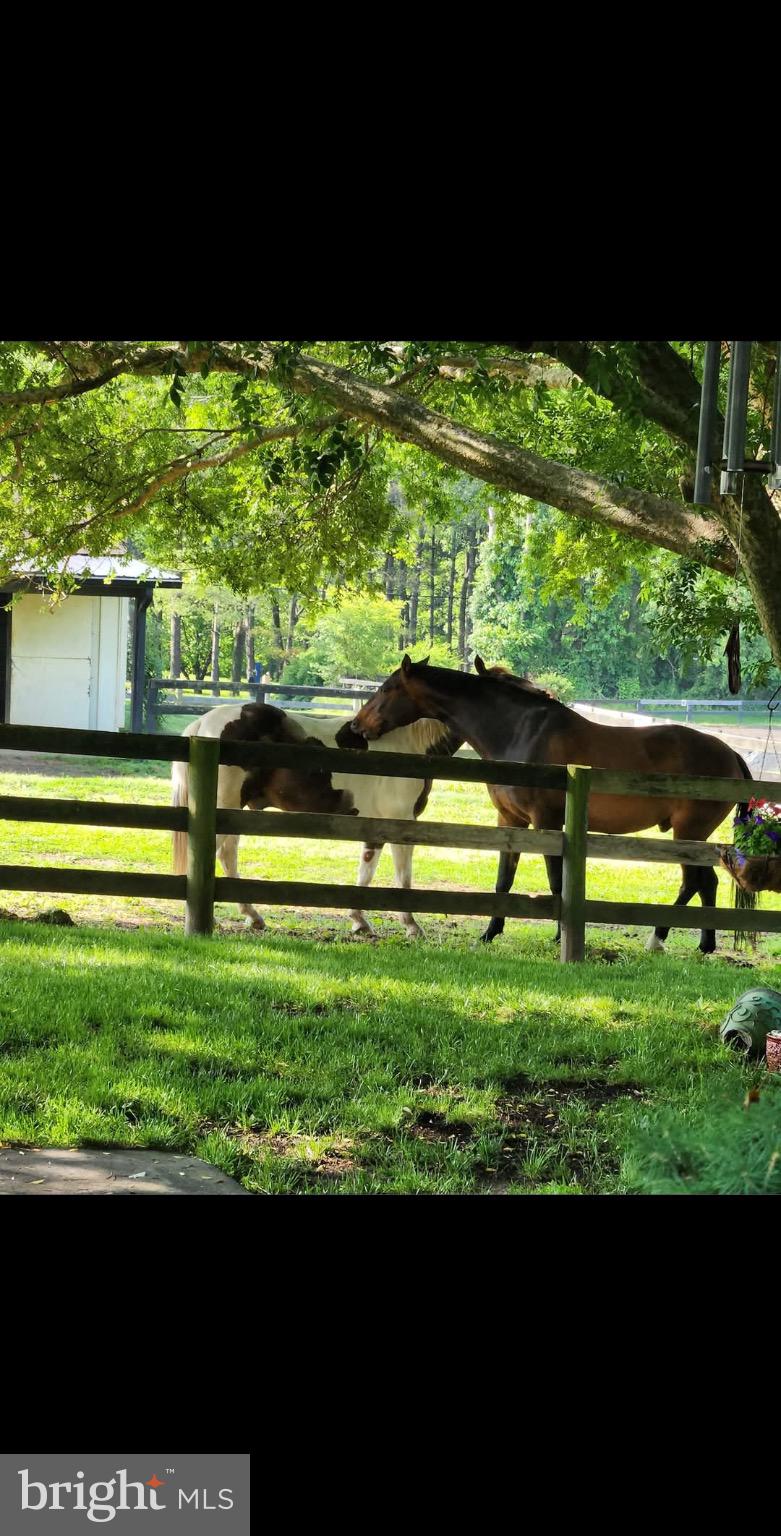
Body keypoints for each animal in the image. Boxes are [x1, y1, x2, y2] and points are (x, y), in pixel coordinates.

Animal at [172, 699, 457, 937]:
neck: (410, 744)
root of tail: (203, 723)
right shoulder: (401, 823)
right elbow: (403, 877)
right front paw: (411, 925)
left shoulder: (376, 828)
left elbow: (366, 871)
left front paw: (359, 921)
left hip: (232, 813)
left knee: (227, 856)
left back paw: (253, 917)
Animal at [349, 655, 753, 955]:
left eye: (386, 689)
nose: (357, 726)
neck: (519, 732)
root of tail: (732, 754)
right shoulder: (509, 822)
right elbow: (503, 880)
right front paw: (489, 933)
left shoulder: (546, 822)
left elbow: (557, 881)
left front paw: (560, 936)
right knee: (706, 882)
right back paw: (704, 944)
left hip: (688, 833)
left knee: (695, 882)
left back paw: (659, 938)